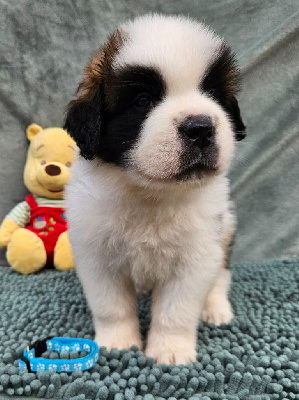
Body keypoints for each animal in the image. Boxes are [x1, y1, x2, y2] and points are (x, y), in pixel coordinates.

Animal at [63, 14, 246, 366]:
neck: (149, 194)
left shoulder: (196, 256)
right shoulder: (97, 255)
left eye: (214, 95)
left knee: (221, 275)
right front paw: (118, 343)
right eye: (142, 101)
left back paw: (216, 308)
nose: (201, 128)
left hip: (227, 227)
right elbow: (112, 307)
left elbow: (176, 311)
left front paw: (170, 351)